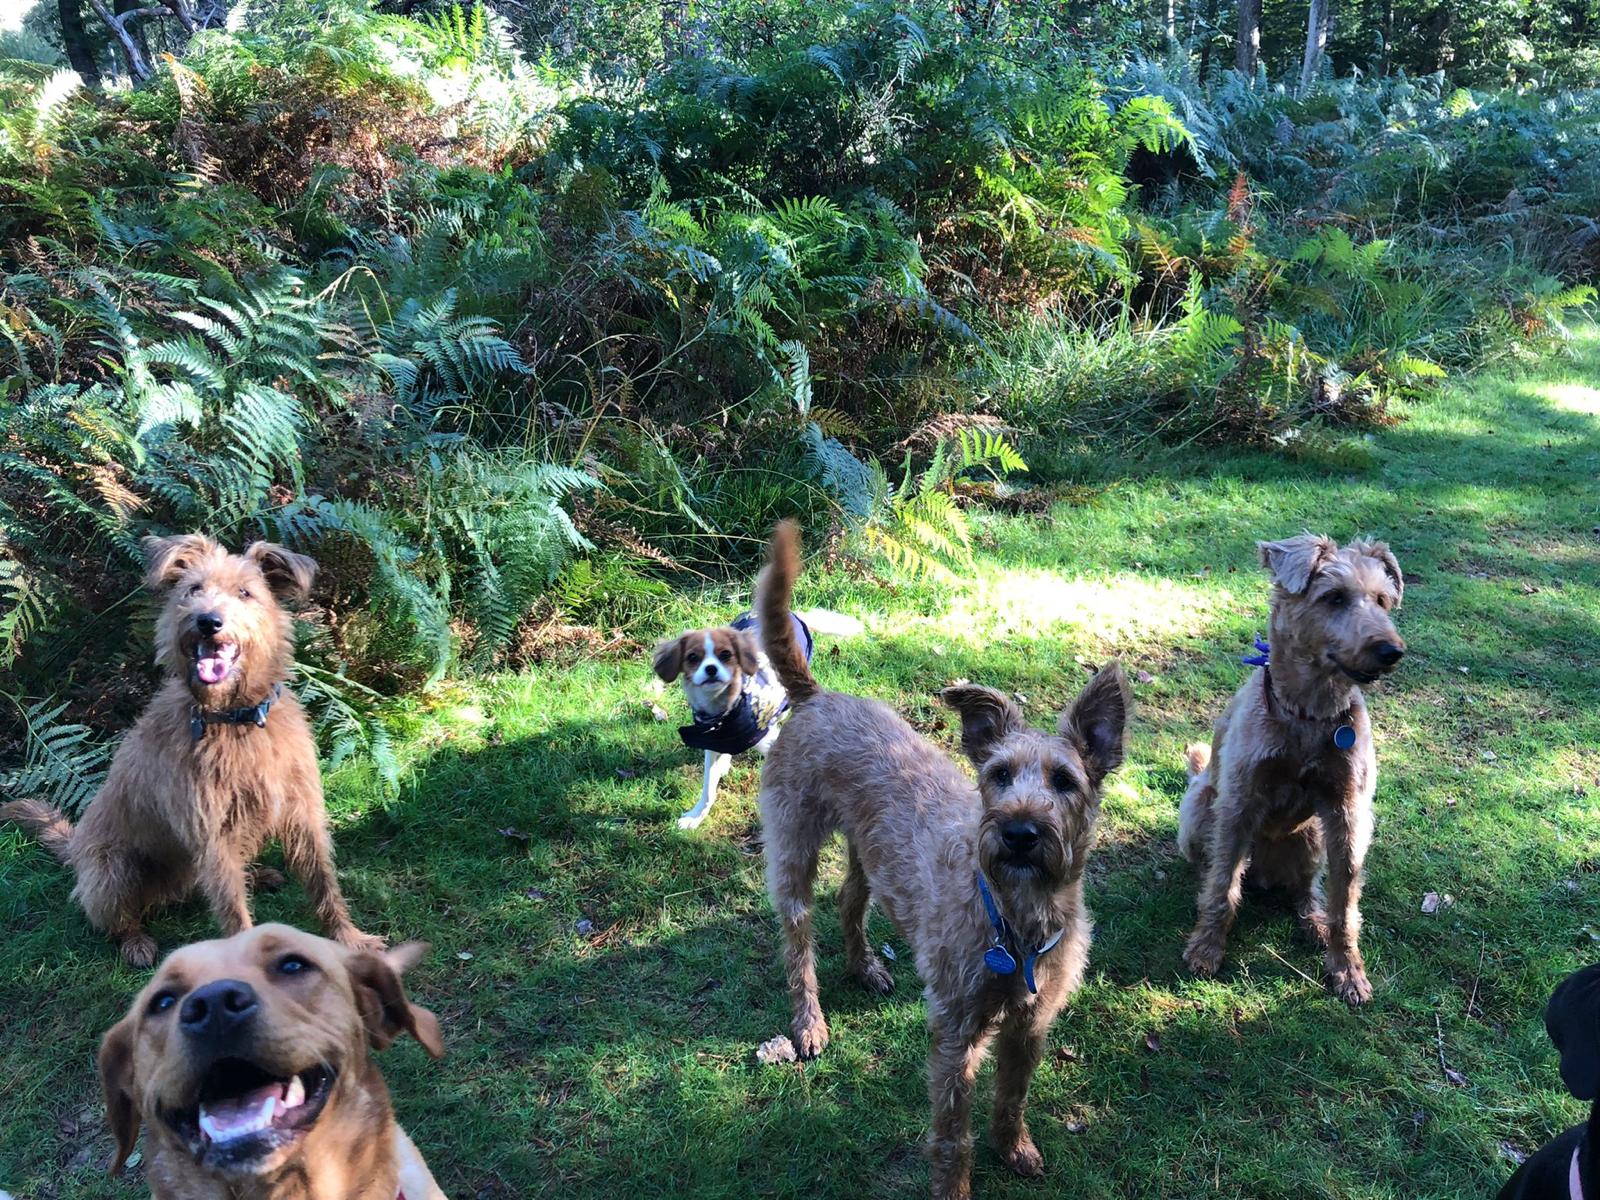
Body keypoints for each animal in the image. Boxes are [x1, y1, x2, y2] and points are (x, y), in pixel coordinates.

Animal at [2, 534, 380, 967]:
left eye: (245, 592)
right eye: (193, 589)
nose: (207, 621)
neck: (235, 721)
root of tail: (76, 846)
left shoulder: (301, 813)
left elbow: (324, 884)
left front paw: (350, 939)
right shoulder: (213, 836)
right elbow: (234, 911)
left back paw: (258, 875)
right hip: (111, 868)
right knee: (116, 916)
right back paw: (136, 943)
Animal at [652, 606, 859, 830]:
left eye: (726, 654)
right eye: (692, 657)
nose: (711, 669)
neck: (725, 711)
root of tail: (795, 614)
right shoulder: (711, 742)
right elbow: (708, 788)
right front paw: (696, 816)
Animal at [753, 521, 1130, 1200]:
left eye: (1064, 781)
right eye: (998, 775)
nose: (1019, 833)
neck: (1015, 915)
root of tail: (817, 695)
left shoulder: (1029, 1025)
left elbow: (1013, 1097)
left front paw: (1016, 1148)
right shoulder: (956, 1030)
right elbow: (954, 1134)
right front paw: (955, 1187)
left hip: (867, 850)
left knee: (850, 901)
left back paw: (866, 967)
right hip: (793, 849)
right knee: (798, 945)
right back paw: (809, 1023)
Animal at [1177, 534, 1406, 1005]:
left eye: (1382, 599)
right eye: (1334, 597)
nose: (1391, 651)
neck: (1310, 713)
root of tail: (1265, 874)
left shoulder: (1347, 814)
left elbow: (1345, 903)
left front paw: (1347, 971)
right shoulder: (1239, 804)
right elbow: (1222, 886)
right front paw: (1206, 948)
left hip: (1312, 836)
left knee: (1306, 889)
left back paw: (1312, 920)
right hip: (1198, 815)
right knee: (1214, 869)